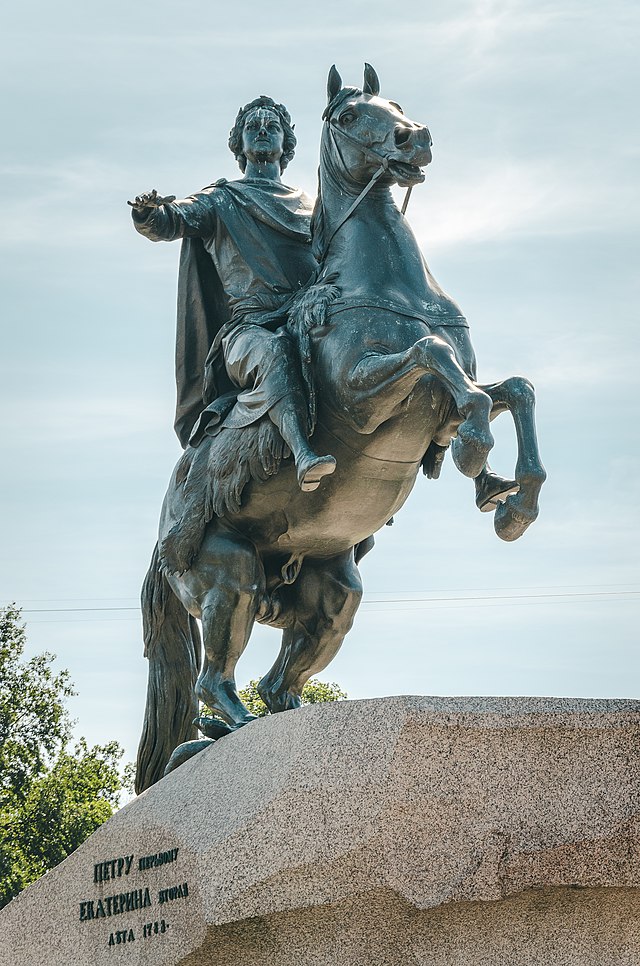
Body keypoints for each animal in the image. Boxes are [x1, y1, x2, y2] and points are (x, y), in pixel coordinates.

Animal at [136, 66, 544, 796]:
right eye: (351, 115)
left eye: (397, 103)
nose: (416, 138)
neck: (393, 290)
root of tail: (159, 541)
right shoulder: (366, 397)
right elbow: (433, 356)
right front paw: (478, 455)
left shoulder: (441, 406)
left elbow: (512, 388)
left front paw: (512, 498)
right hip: (227, 578)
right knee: (216, 679)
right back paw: (226, 729)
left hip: (330, 598)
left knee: (279, 681)